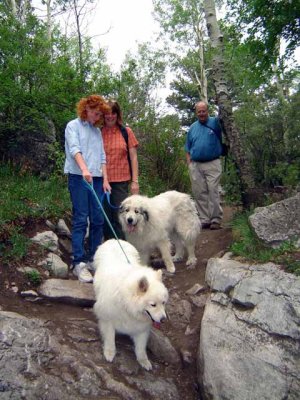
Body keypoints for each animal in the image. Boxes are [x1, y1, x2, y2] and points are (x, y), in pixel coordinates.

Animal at [93, 239, 169, 370]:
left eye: (163, 303)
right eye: (153, 305)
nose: (163, 319)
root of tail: (114, 240)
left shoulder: (141, 328)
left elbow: (141, 348)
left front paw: (144, 361)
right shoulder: (107, 319)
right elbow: (110, 338)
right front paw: (109, 353)